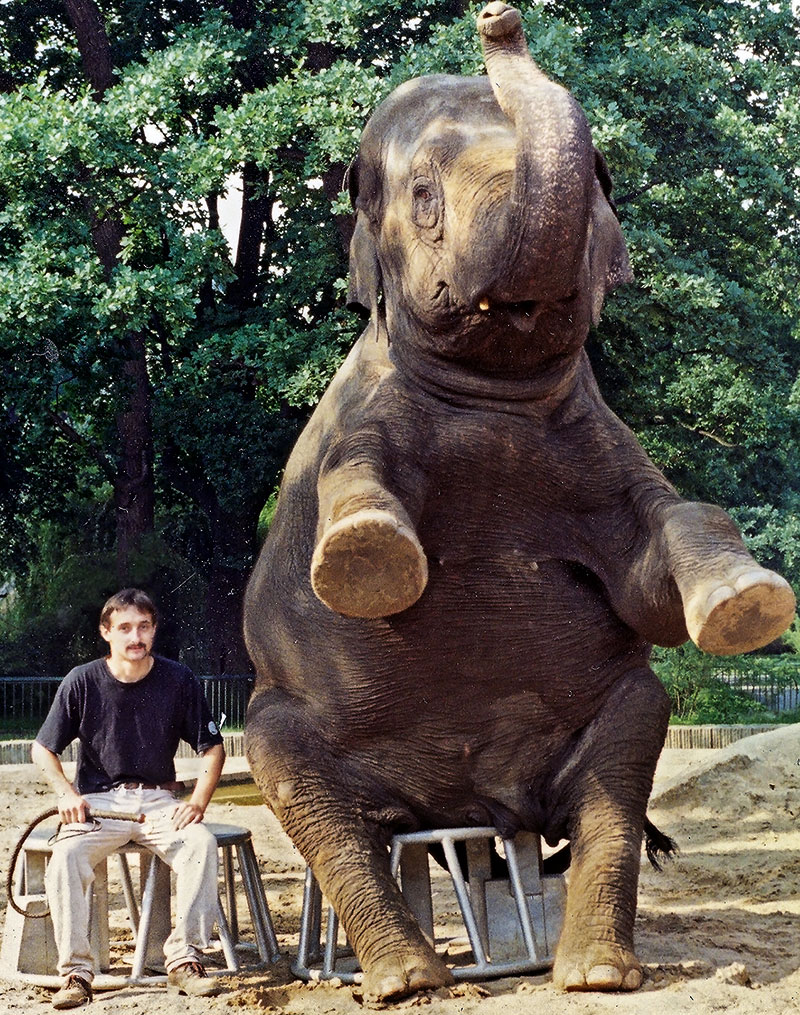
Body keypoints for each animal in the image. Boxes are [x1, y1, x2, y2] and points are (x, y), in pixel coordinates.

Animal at [242, 0, 791, 998]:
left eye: (605, 182)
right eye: (423, 194)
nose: (497, 20)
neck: (492, 394)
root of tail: (473, 810)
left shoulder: (601, 443)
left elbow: (657, 562)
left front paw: (747, 602)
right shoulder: (363, 419)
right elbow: (353, 501)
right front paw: (367, 552)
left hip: (612, 715)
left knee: (623, 757)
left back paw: (594, 970)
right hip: (281, 713)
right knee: (310, 790)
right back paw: (407, 979)